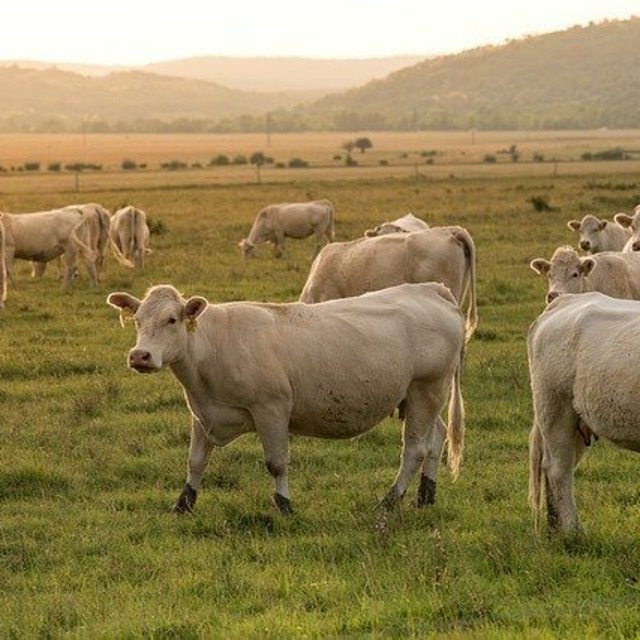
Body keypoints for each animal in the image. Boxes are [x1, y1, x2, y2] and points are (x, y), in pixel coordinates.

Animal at [107, 282, 466, 515]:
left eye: (171, 319)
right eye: (137, 321)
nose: (140, 356)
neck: (212, 346)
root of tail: (430, 289)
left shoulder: (271, 410)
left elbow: (276, 463)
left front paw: (284, 506)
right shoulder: (203, 414)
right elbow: (195, 462)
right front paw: (183, 503)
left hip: (426, 389)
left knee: (414, 449)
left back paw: (390, 501)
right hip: (421, 397)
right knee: (436, 438)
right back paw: (425, 496)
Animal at [528, 292, 640, 534]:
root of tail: (565, 299)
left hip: (577, 424)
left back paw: (556, 528)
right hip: (555, 409)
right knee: (558, 470)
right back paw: (573, 530)